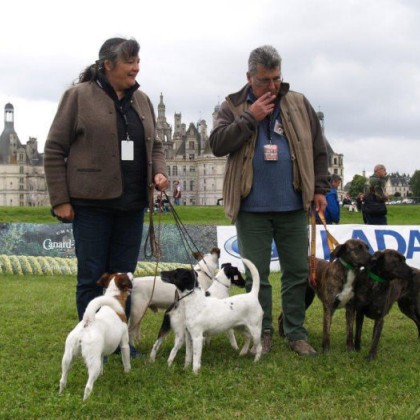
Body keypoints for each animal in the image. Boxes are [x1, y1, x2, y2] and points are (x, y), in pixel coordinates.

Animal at [59, 272, 133, 400]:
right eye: (126, 275)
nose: (131, 273)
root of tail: (88, 321)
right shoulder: (124, 344)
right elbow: (126, 361)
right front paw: (128, 373)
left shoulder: (101, 353)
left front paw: (101, 376)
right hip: (93, 362)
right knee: (88, 386)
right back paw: (86, 401)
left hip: (67, 357)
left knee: (63, 379)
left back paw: (61, 393)